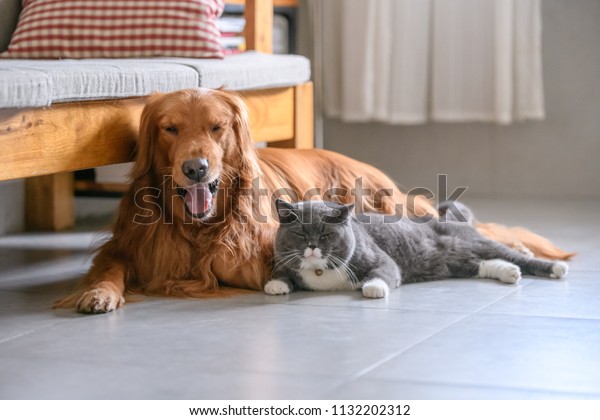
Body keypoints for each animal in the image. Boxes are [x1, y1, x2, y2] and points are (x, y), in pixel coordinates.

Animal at [264, 199, 568, 298]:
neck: (319, 272)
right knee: (482, 264)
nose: (312, 247)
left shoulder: (381, 260)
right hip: (457, 262)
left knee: (511, 254)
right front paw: (275, 285)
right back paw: (510, 273)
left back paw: (556, 267)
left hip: (476, 242)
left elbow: (384, 273)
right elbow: (283, 274)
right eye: (300, 233)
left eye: (326, 234)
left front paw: (373, 289)